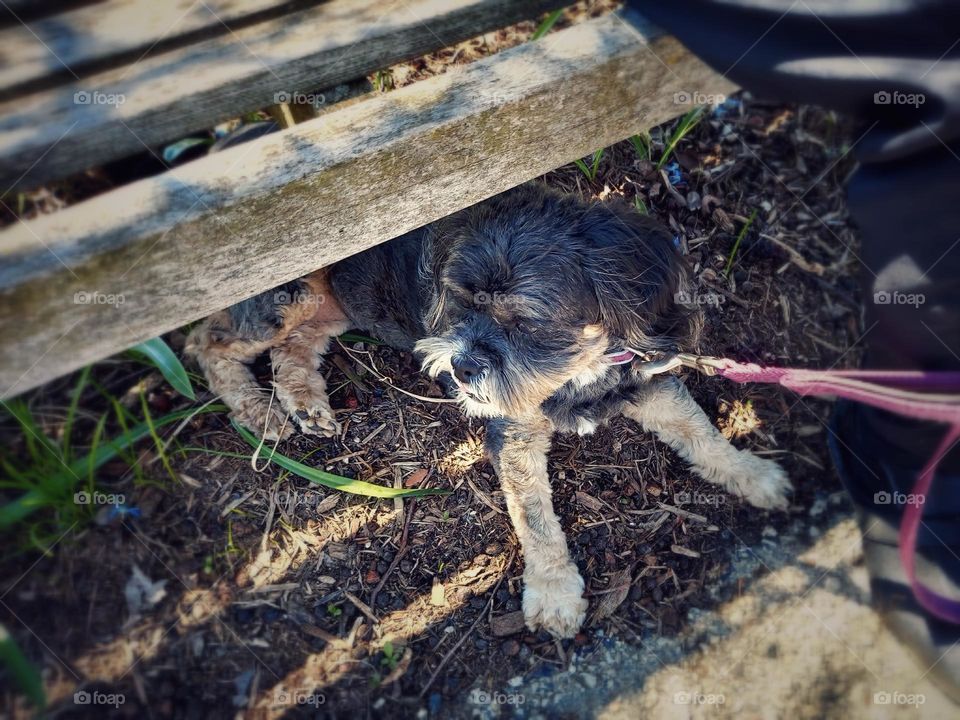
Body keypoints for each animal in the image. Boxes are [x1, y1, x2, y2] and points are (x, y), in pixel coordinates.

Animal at [186, 183, 788, 640]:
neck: (577, 374)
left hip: (334, 306)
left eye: (524, 321)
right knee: (207, 342)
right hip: (287, 293)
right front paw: (553, 593)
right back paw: (257, 412)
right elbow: (535, 518)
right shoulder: (514, 435)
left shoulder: (649, 382)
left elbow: (703, 433)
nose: (459, 366)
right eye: (460, 300)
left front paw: (754, 475)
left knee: (292, 348)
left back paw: (305, 404)